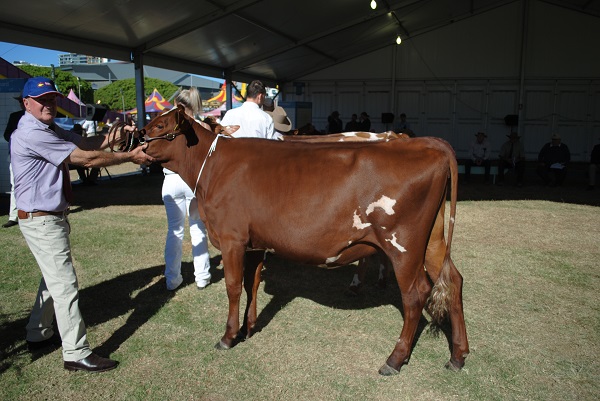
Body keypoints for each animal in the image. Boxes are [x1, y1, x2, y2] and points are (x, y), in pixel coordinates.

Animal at [135, 107, 468, 376]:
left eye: (161, 125)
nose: (137, 135)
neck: (212, 166)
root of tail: (424, 143)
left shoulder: (232, 238)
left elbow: (233, 287)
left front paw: (228, 337)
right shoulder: (255, 242)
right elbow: (251, 284)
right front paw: (248, 328)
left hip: (403, 244)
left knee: (415, 295)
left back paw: (394, 360)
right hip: (432, 241)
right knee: (453, 280)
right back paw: (458, 355)